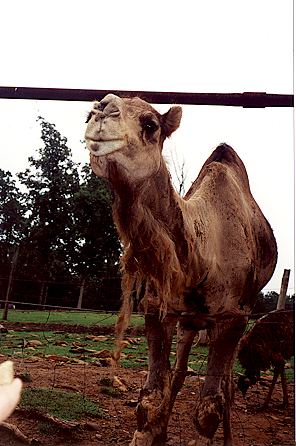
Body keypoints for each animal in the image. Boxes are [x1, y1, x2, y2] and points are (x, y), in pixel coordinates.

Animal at [85, 92, 278, 444]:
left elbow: (209, 406)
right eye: (88, 113)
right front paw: (151, 432)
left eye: (151, 124)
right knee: (179, 373)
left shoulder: (233, 317)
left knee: (227, 385)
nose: (102, 110)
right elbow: (150, 398)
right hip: (190, 322)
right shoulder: (158, 308)